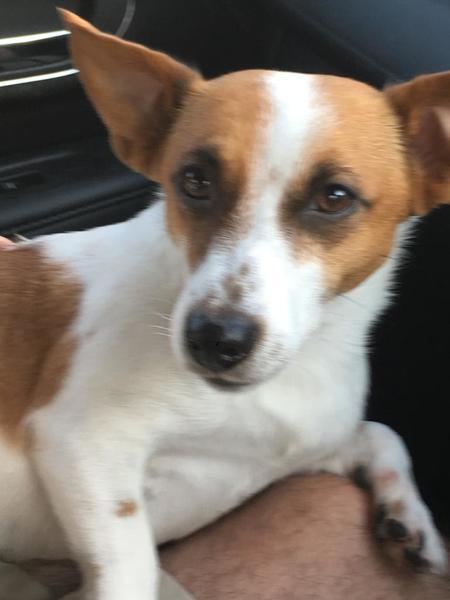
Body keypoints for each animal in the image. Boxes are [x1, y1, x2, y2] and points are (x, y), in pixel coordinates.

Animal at [0, 8, 448, 600]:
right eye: (194, 181)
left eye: (335, 197)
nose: (215, 340)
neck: (300, 368)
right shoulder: (81, 440)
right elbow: (133, 568)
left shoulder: (291, 452)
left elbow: (382, 433)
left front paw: (411, 519)